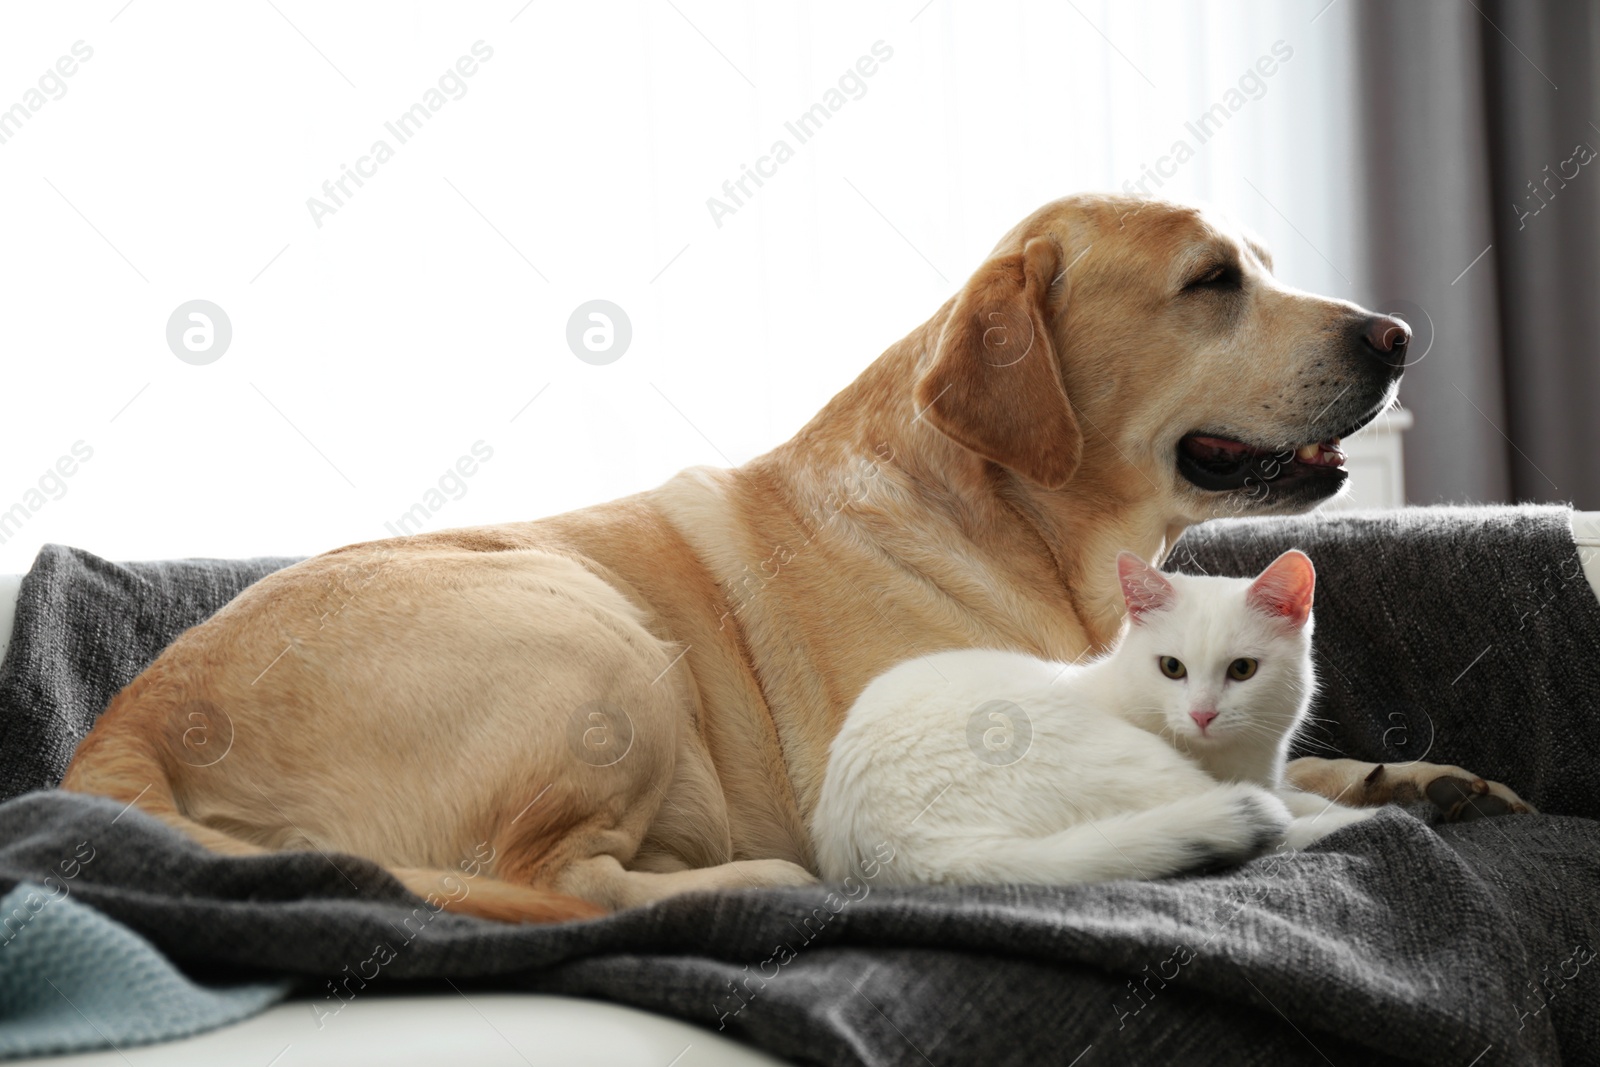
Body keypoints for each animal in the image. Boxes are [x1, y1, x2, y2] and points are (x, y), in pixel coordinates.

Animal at [812, 550, 1376, 883]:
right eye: (1172, 667)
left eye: (1243, 669)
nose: (1202, 714)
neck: (1234, 761)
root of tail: (904, 852)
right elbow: (1297, 814)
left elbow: (1301, 795)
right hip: (1127, 762)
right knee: (1280, 833)